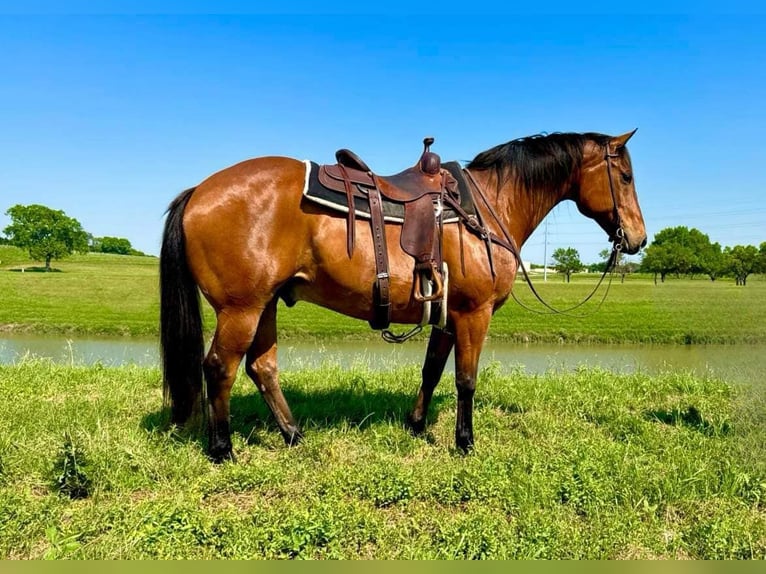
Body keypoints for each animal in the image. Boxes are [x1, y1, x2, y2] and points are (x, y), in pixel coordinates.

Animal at [160, 130, 647, 462]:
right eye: (624, 176)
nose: (638, 238)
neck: (488, 206)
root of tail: (199, 191)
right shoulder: (475, 314)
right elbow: (465, 380)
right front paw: (465, 443)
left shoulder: (448, 315)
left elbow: (432, 371)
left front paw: (416, 425)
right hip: (241, 308)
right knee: (220, 367)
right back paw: (222, 449)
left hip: (266, 305)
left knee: (262, 367)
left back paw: (294, 435)